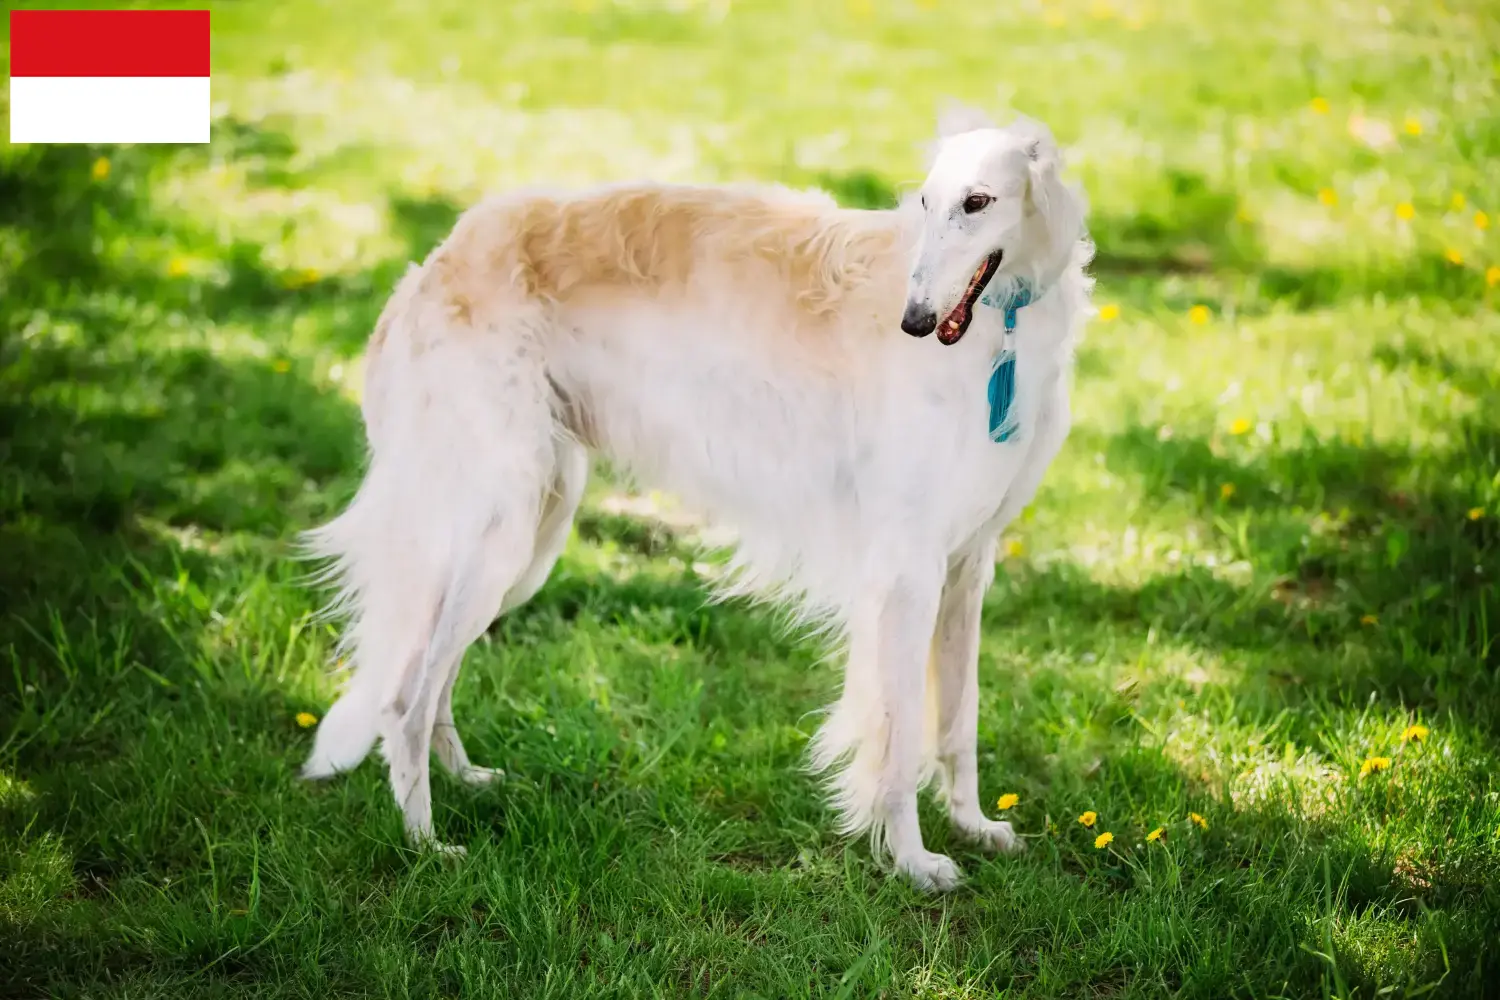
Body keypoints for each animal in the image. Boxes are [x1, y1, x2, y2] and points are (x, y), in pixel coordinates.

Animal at [301, 109, 1092, 893]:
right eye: (926, 202)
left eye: (978, 202)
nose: (916, 320)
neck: (1001, 330)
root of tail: (431, 265)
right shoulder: (906, 570)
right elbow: (897, 744)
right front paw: (912, 860)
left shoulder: (966, 564)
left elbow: (959, 720)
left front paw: (974, 825)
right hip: (495, 531)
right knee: (402, 700)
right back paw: (425, 846)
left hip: (526, 533)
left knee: (433, 682)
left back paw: (467, 782)